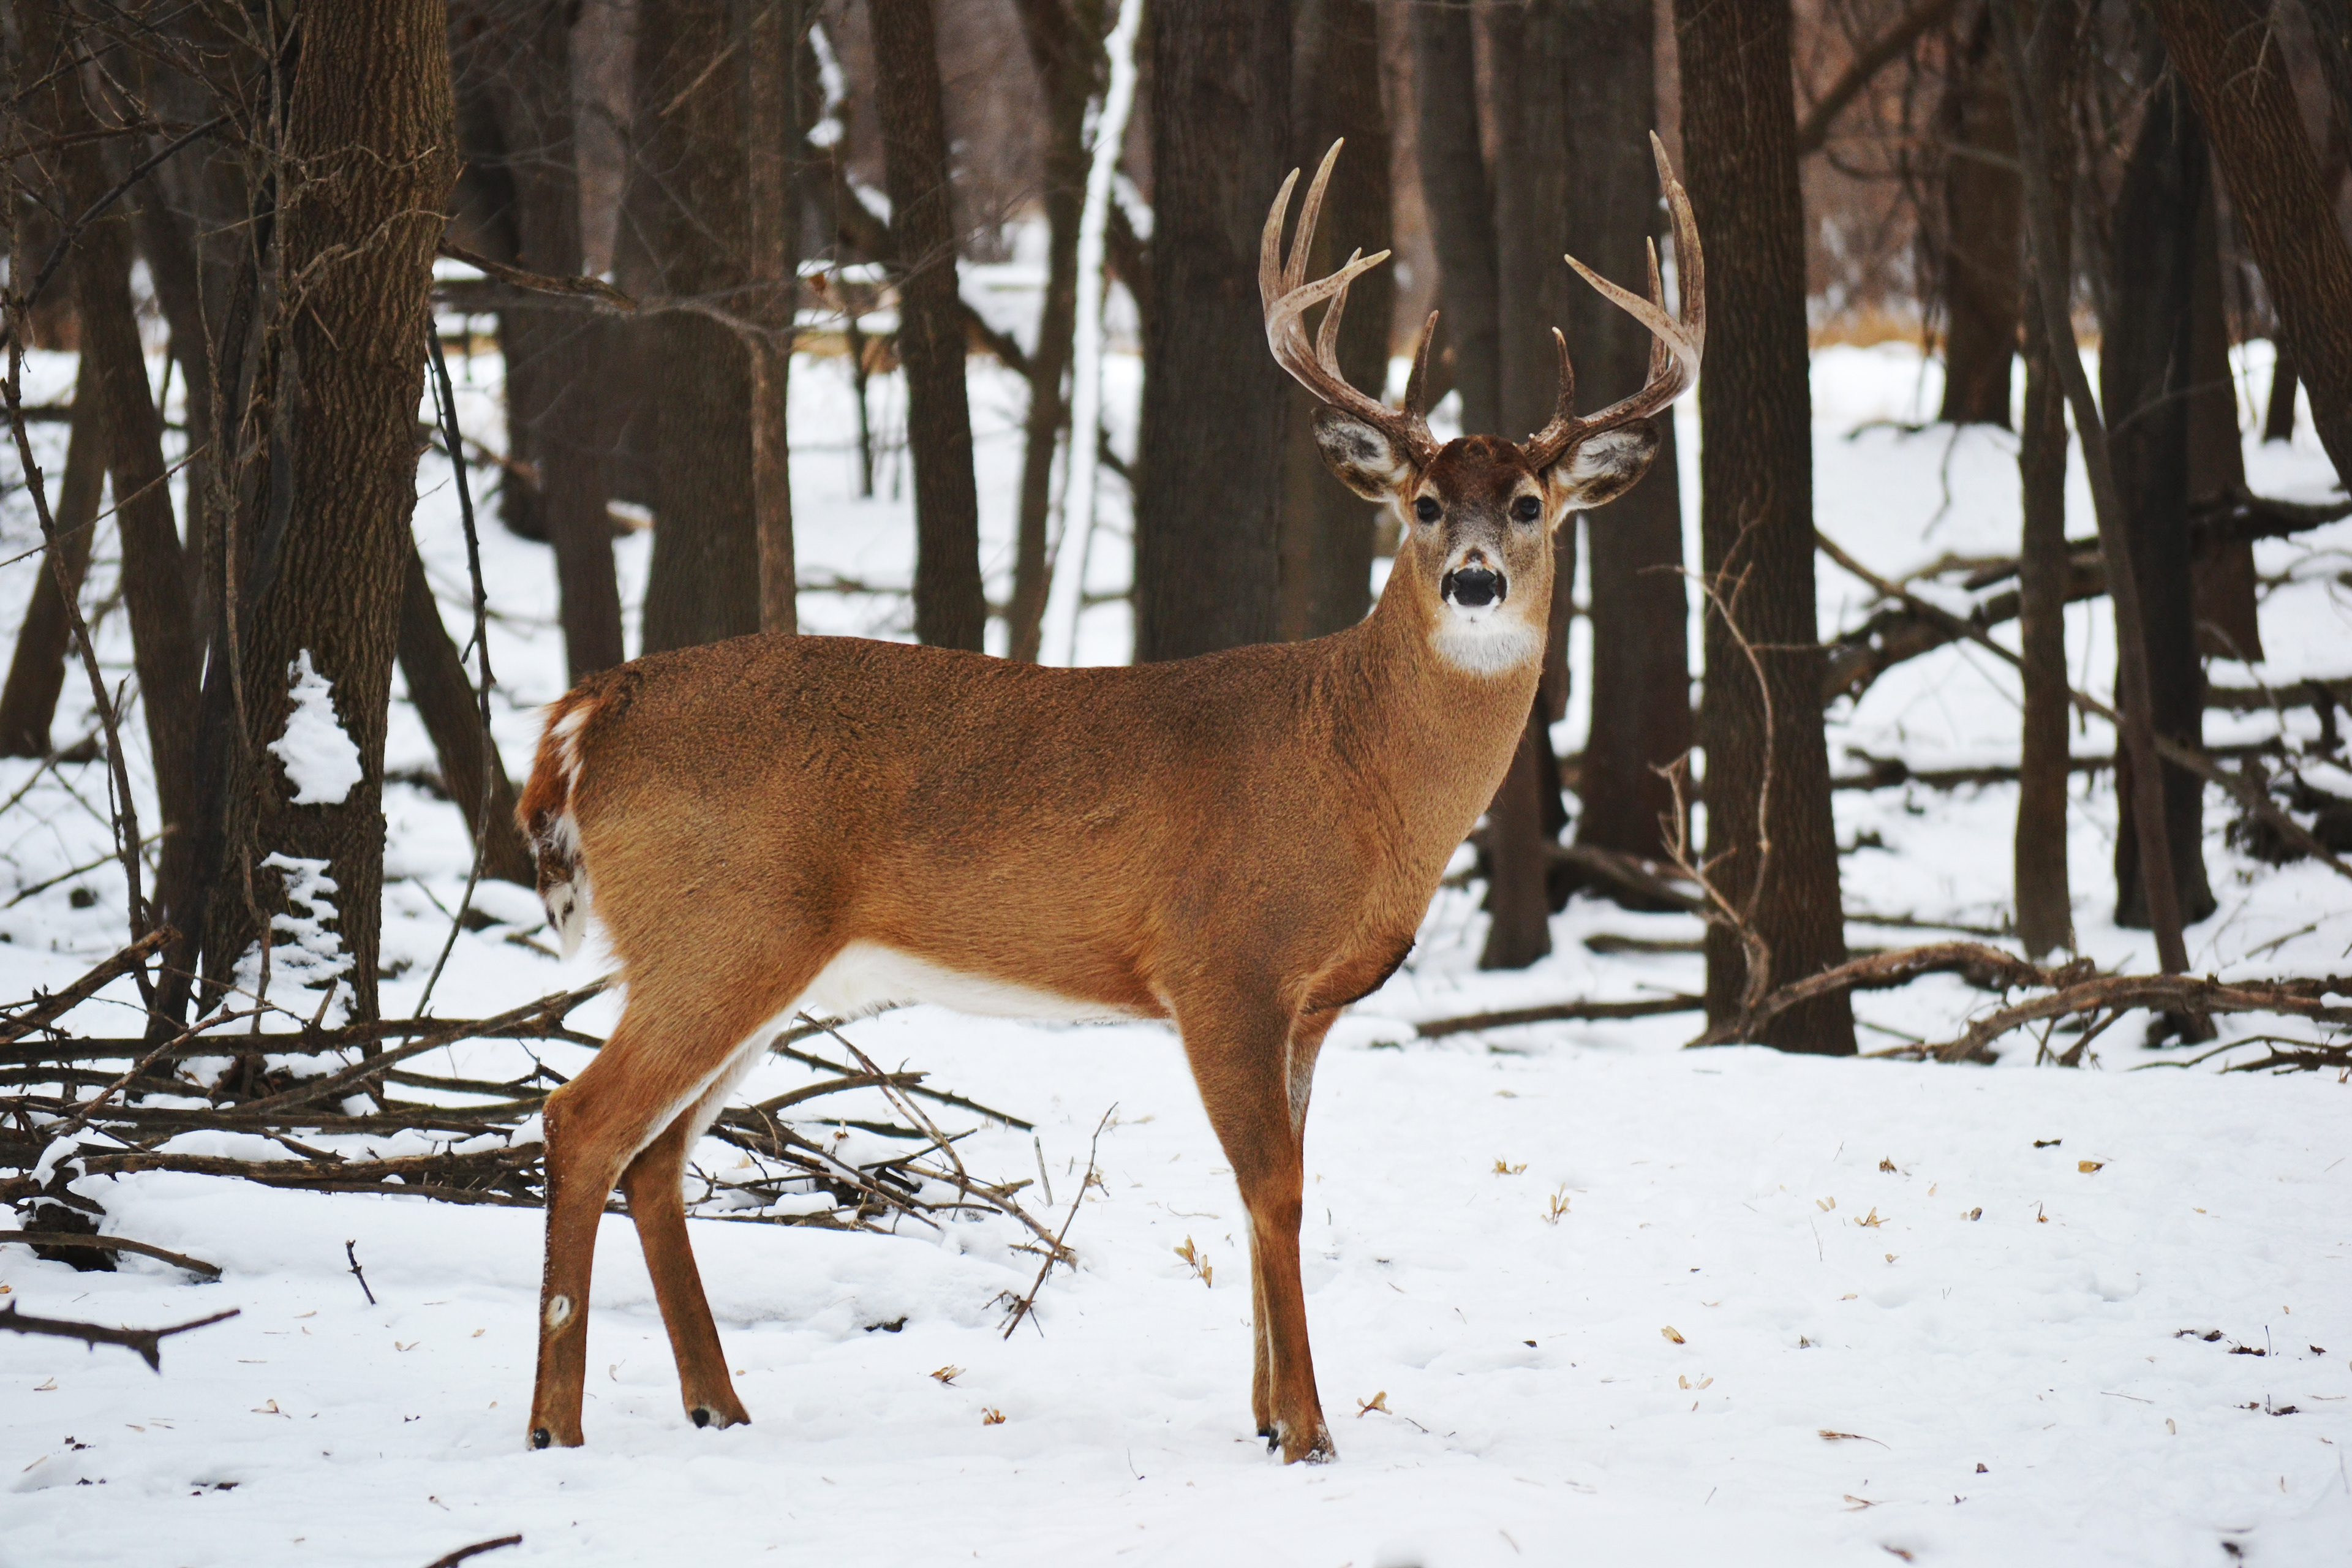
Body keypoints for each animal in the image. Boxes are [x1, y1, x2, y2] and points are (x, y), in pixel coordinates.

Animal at [515, 135, 1701, 1464]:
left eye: (1533, 505)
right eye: (1425, 504)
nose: (1478, 581)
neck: (1355, 766)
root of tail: (599, 704)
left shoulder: (1308, 1004)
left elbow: (1276, 1184)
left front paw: (1265, 1415)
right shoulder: (1221, 962)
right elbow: (1275, 1189)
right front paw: (1309, 1432)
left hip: (756, 958)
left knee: (657, 1154)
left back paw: (718, 1401)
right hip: (717, 930)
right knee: (581, 1122)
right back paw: (557, 1427)